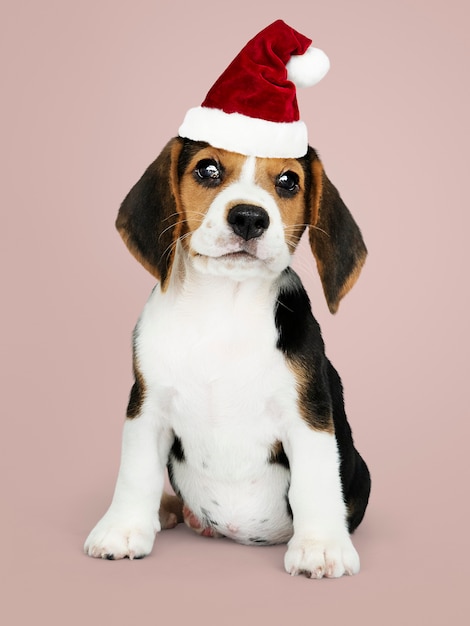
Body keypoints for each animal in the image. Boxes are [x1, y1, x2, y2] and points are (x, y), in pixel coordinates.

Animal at [84, 139, 370, 576]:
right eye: (208, 170)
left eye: (288, 181)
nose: (249, 218)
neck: (225, 304)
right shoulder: (146, 407)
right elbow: (136, 473)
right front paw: (123, 529)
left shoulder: (308, 415)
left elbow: (315, 481)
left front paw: (320, 547)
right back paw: (170, 511)